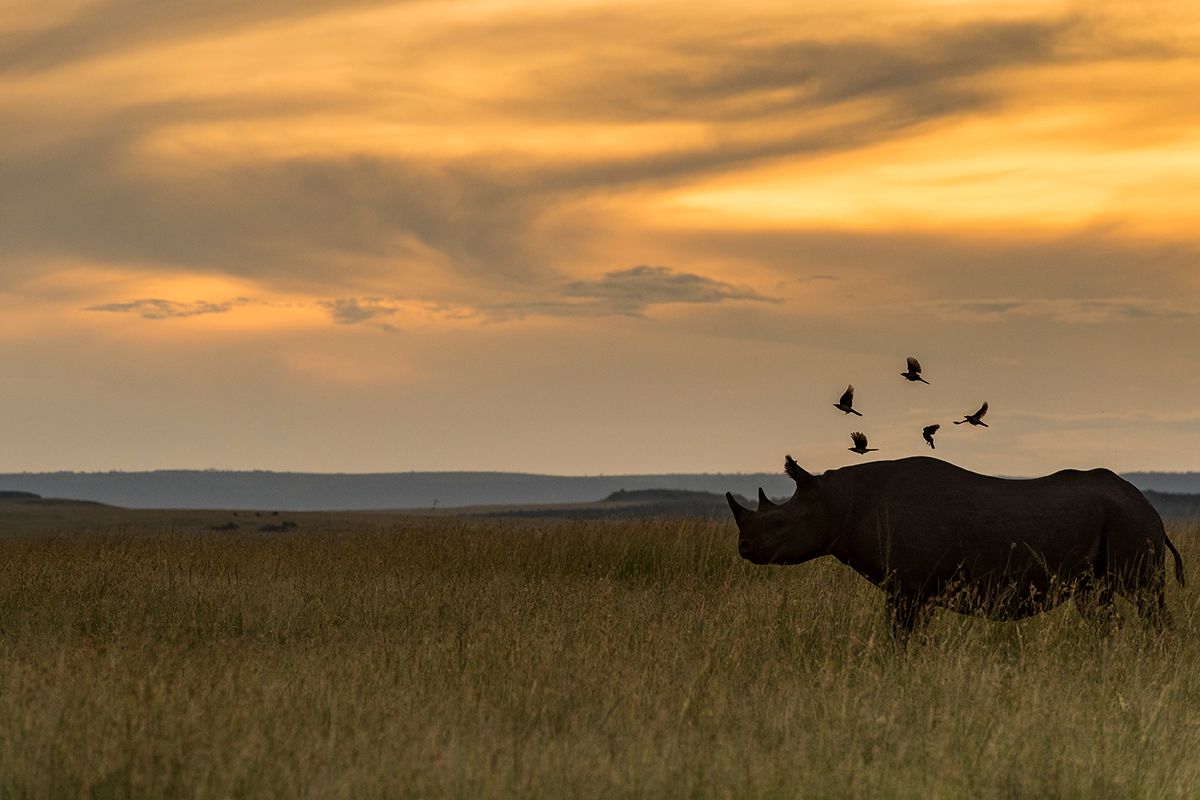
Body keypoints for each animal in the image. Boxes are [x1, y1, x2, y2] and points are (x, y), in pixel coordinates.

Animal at [727, 456, 1185, 639]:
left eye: (780, 523)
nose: (744, 547)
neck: (838, 502)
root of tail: (1150, 509)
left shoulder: (909, 586)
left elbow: (900, 634)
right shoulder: (912, 588)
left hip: (1132, 523)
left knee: (1144, 597)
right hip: (1113, 535)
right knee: (1099, 605)